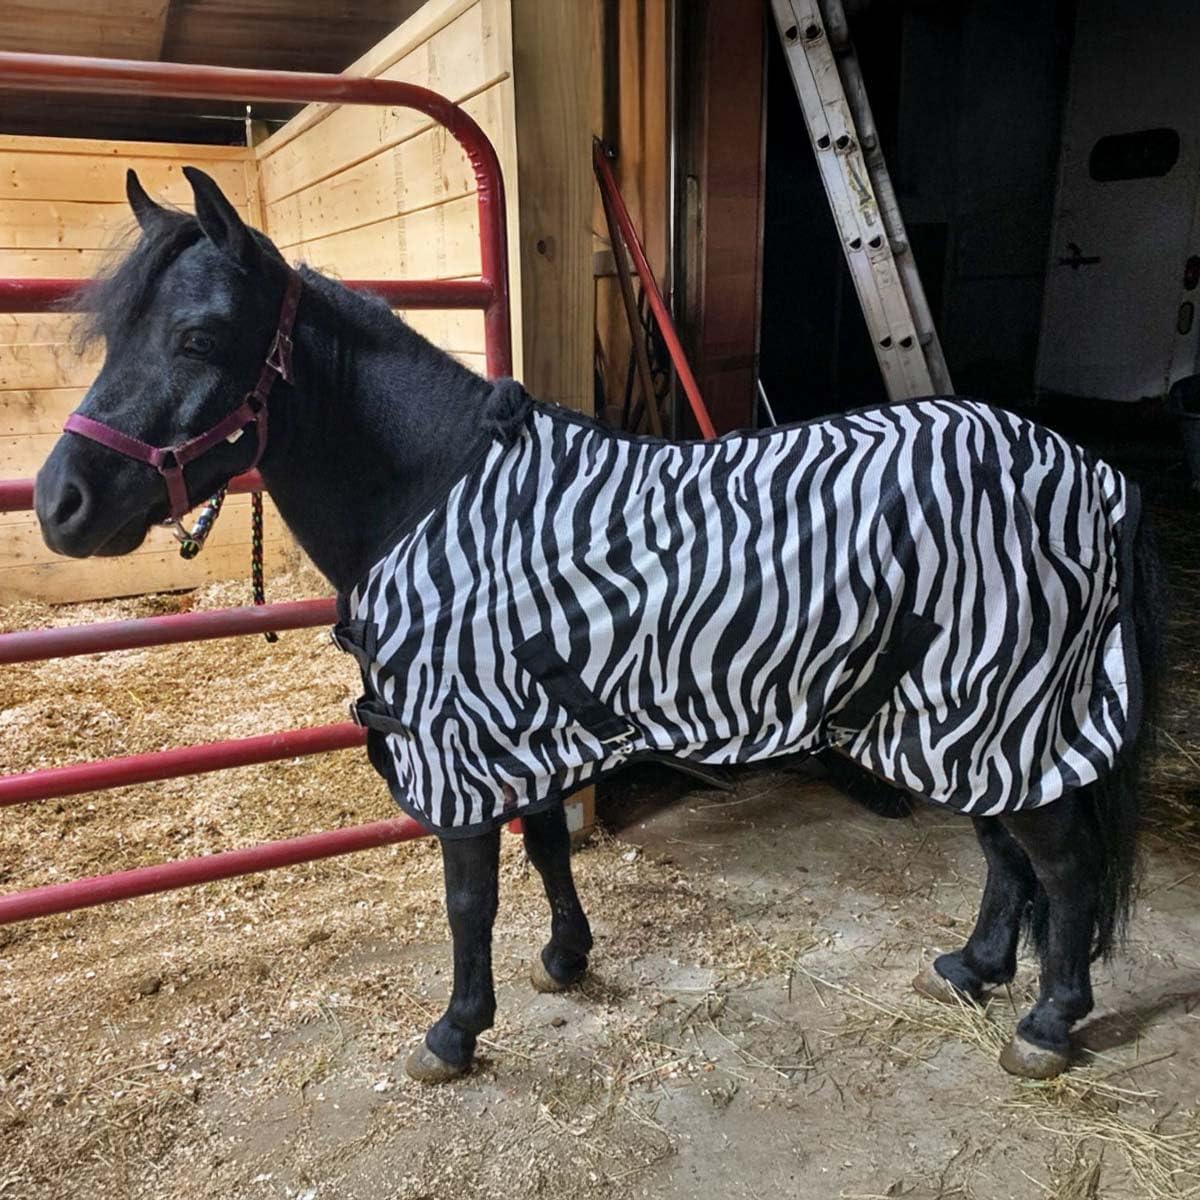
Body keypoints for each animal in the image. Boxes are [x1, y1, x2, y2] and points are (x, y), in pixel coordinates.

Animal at [33, 167, 1166, 1085]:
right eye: (115, 338)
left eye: (198, 338)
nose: (58, 504)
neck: (434, 497)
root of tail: (1095, 475)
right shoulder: (520, 725)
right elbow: (546, 850)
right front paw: (565, 960)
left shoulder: (464, 737)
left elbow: (470, 898)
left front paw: (455, 1032)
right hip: (948, 714)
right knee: (1007, 851)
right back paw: (972, 970)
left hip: (995, 704)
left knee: (1061, 862)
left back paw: (1049, 1025)